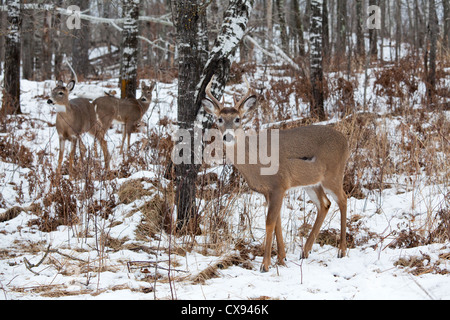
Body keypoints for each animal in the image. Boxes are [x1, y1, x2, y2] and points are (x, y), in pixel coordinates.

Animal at [202, 77, 350, 272]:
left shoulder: (279, 184)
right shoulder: (269, 191)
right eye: (219, 119)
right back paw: (305, 251)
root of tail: (346, 142)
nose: (228, 136)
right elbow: (277, 221)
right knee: (325, 204)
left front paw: (265, 264)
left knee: (343, 199)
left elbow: (269, 222)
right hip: (312, 183)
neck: (255, 162)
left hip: (333, 174)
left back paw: (341, 250)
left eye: (237, 119)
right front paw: (282, 258)